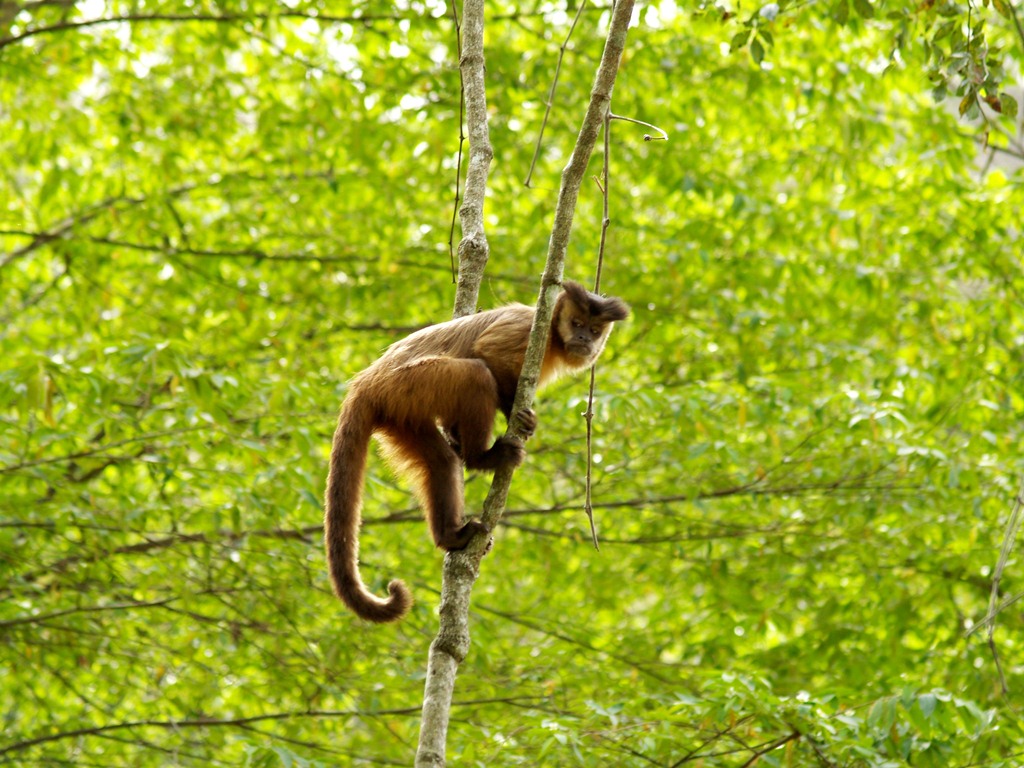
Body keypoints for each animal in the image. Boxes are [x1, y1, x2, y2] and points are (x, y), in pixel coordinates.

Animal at [327, 282, 626, 626]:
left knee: (442, 461)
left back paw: (451, 534)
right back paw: (482, 458)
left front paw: (458, 437)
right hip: (409, 383)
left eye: (594, 330)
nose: (584, 340)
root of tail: (366, 383)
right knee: (476, 374)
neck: (551, 334)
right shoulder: (526, 327)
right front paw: (514, 414)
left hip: (399, 411)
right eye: (576, 324)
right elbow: (489, 354)